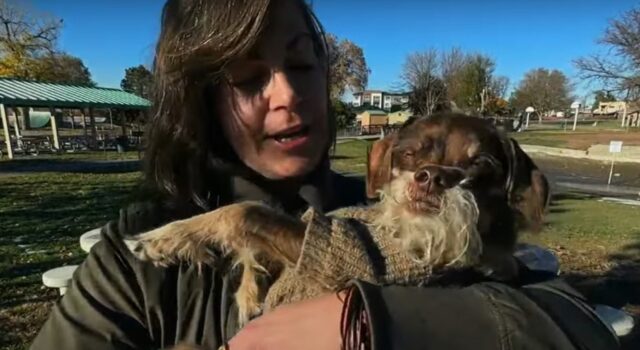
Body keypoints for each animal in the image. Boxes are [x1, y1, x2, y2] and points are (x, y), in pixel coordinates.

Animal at [130, 113, 552, 330]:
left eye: (481, 164)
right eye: (409, 153)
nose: (432, 177)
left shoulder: (336, 252)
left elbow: (244, 211)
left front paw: (162, 238)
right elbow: (255, 238)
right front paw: (249, 291)